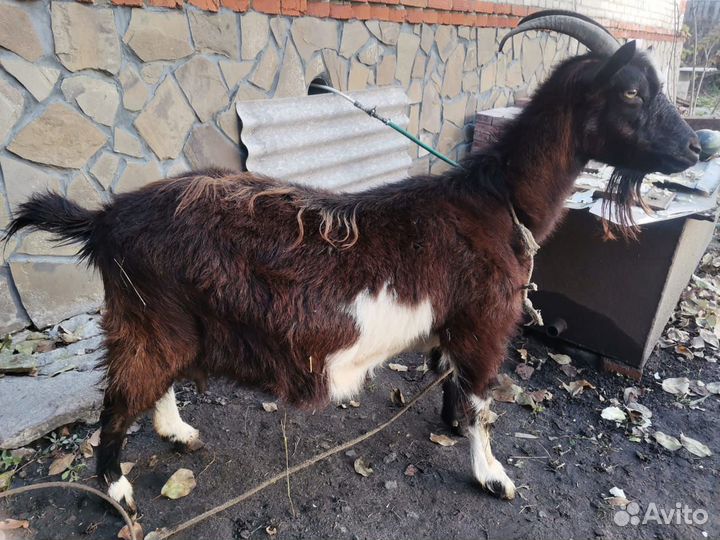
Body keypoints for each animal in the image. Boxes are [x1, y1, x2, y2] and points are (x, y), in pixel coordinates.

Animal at [4, 11, 699, 511]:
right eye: (632, 91)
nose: (696, 146)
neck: (497, 203)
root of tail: (106, 219)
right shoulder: (485, 321)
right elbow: (481, 399)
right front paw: (493, 476)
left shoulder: (452, 321)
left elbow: (450, 378)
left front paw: (448, 425)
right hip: (148, 318)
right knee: (119, 397)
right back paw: (118, 490)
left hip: (169, 321)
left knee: (157, 382)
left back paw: (178, 432)